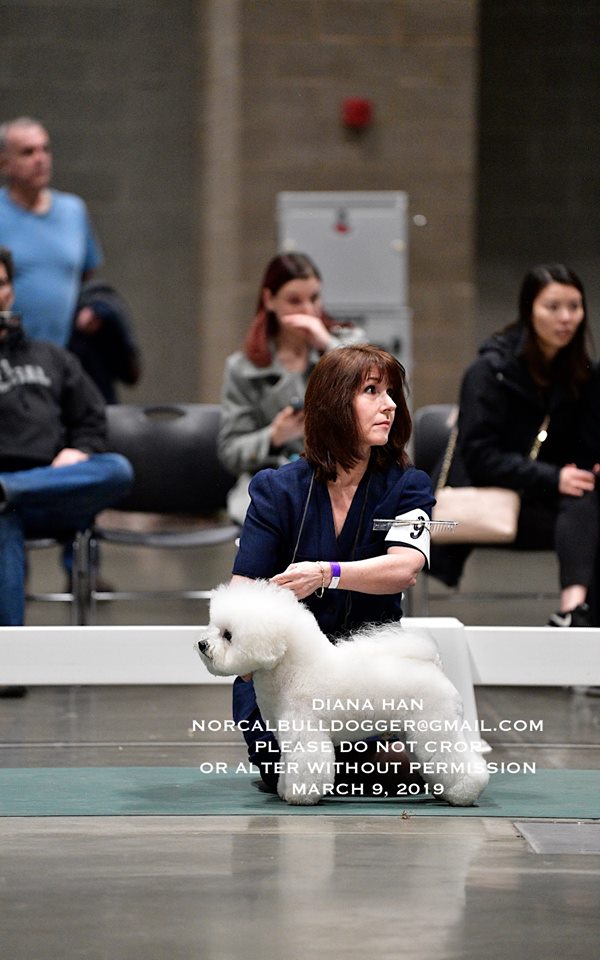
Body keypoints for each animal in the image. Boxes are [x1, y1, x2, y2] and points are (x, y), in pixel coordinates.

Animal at [195, 580, 490, 808]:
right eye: (215, 628)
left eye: (228, 635)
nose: (201, 644)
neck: (294, 669)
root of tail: (434, 665)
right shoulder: (289, 739)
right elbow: (289, 766)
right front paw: (286, 791)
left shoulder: (307, 734)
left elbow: (307, 765)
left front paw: (300, 797)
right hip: (413, 733)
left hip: (434, 726)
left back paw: (464, 794)